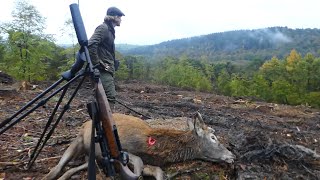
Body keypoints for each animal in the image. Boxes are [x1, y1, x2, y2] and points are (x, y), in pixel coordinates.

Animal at [42, 112, 234, 179]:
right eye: (213, 137)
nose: (232, 155)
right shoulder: (112, 151)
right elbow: (138, 163)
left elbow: (158, 172)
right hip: (78, 141)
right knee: (57, 167)